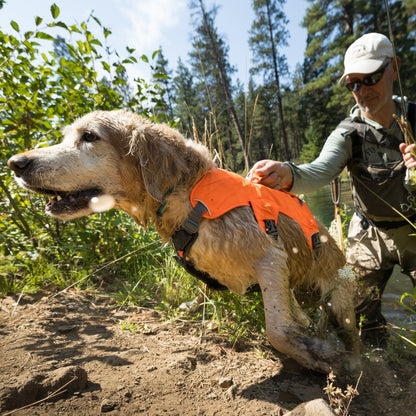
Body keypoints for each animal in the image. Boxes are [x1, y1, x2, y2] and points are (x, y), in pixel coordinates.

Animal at [8, 109, 362, 374]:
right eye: (68, 135)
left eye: (90, 136)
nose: (15, 163)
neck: (189, 195)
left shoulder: (270, 256)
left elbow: (276, 330)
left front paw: (317, 355)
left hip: (340, 297)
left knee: (351, 334)